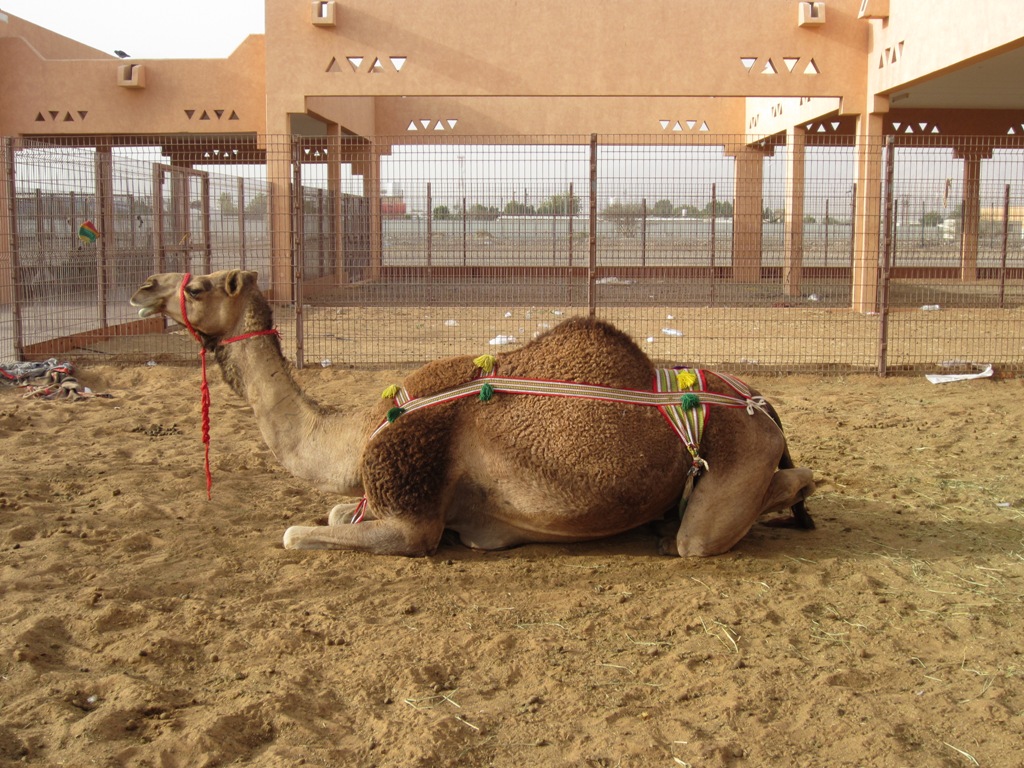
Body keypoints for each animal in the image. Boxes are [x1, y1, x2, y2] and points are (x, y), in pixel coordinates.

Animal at [130, 270, 815, 561]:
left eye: (197, 286)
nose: (142, 286)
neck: (362, 431)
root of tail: (765, 409)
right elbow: (331, 513)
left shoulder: (411, 518)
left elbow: (297, 533)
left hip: (737, 462)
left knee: (709, 531)